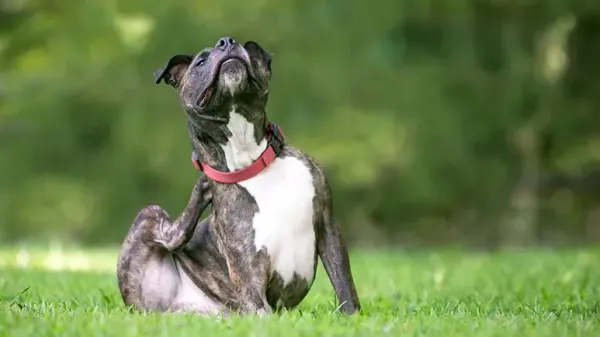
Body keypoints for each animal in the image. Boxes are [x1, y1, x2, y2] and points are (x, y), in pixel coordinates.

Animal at [117, 36, 360, 316]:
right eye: (201, 61)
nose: (226, 41)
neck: (251, 162)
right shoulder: (248, 275)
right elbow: (261, 309)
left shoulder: (329, 228)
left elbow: (345, 286)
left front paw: (351, 317)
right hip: (148, 215)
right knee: (171, 235)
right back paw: (201, 191)